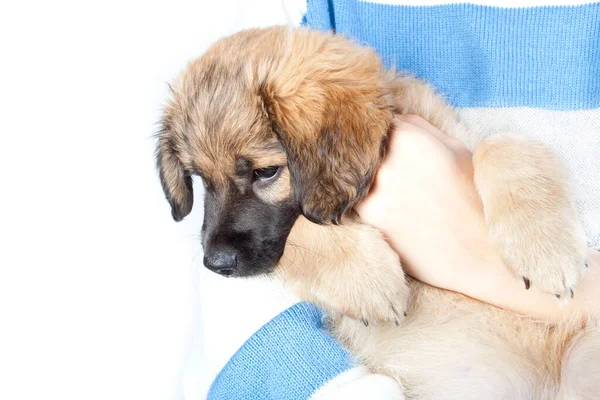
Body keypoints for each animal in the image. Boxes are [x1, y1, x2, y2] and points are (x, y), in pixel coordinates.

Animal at [157, 26, 596, 398]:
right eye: (200, 179)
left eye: (265, 173)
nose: (215, 264)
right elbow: (305, 228)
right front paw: (367, 279)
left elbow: (501, 145)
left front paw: (545, 249)